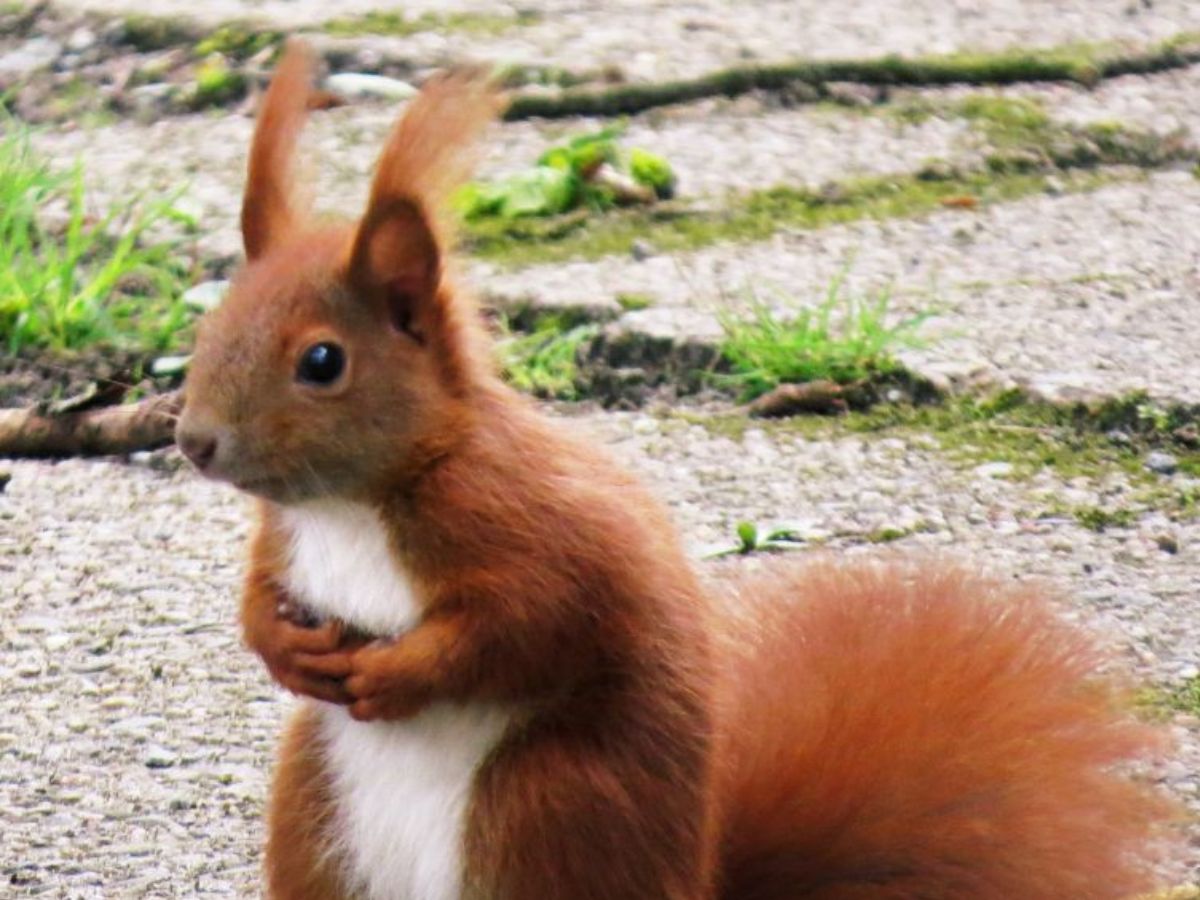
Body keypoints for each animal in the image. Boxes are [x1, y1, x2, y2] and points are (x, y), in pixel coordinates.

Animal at [175, 41, 1176, 900]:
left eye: (322, 361)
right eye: (211, 321)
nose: (192, 441)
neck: (354, 503)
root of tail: (690, 883)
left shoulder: (522, 524)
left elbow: (525, 626)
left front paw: (397, 675)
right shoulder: (285, 535)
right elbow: (258, 595)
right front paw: (280, 644)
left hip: (540, 802)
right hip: (313, 805)